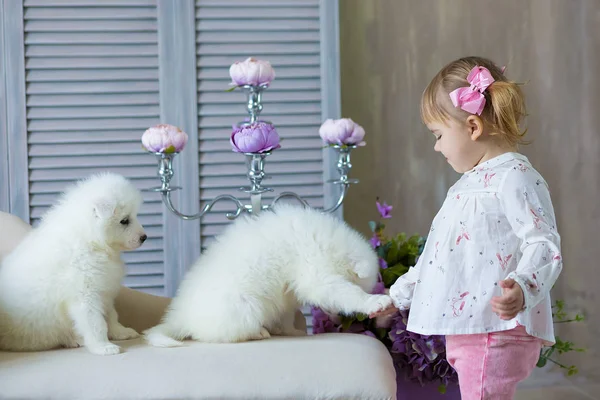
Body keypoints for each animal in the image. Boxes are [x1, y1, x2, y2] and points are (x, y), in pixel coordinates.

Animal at [0, 173, 146, 354]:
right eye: (124, 220)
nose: (144, 237)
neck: (90, 240)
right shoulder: (85, 295)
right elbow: (96, 322)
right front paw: (103, 346)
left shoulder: (104, 290)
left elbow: (111, 315)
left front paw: (121, 332)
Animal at [145, 203, 394, 346]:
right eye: (359, 283)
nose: (332, 315)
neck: (328, 243)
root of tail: (181, 316)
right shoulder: (317, 274)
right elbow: (346, 293)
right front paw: (374, 301)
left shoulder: (289, 293)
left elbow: (286, 315)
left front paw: (291, 331)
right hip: (245, 307)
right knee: (217, 335)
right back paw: (258, 333)